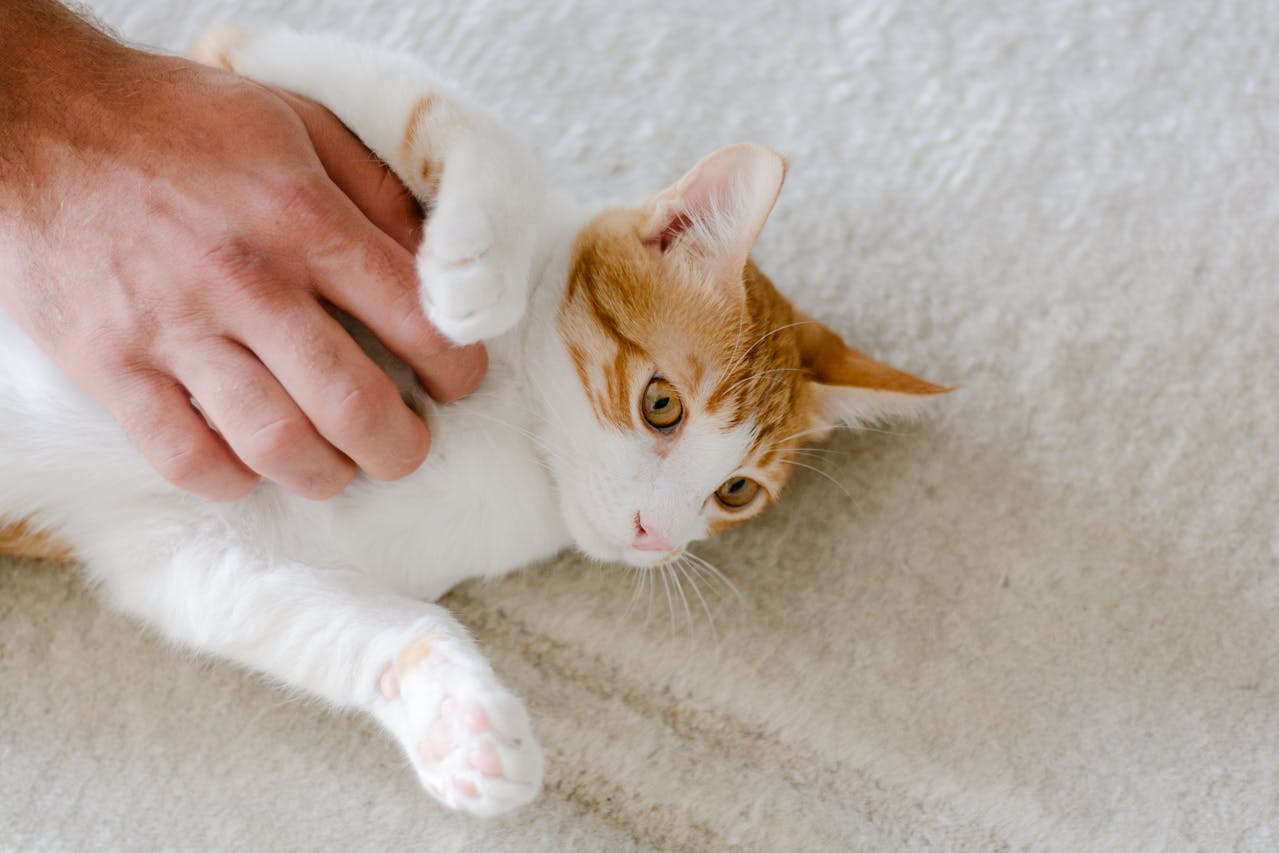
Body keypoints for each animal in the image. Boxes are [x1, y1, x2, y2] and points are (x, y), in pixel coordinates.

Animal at [0, 28, 941, 818]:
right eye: (661, 403)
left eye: (736, 492)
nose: (657, 537)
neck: (523, 434)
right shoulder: (246, 71)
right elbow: (463, 128)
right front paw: (474, 273)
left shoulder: (192, 541)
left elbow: (346, 619)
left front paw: (461, 721)